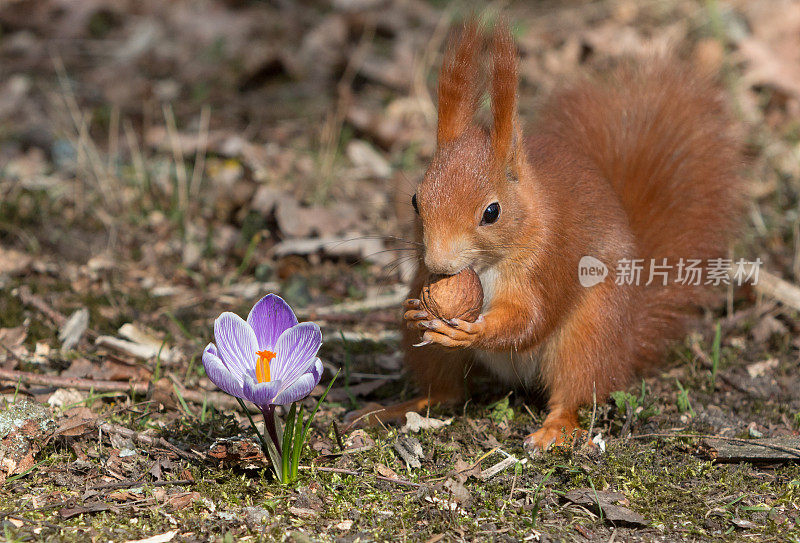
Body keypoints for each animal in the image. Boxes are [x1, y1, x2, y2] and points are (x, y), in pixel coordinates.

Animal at [356, 22, 744, 454]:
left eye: (492, 212)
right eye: (415, 201)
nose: (439, 264)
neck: (488, 265)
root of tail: (627, 341)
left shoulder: (551, 259)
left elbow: (532, 318)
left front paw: (474, 331)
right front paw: (414, 309)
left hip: (590, 333)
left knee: (577, 389)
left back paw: (555, 429)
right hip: (431, 357)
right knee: (446, 391)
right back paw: (396, 407)